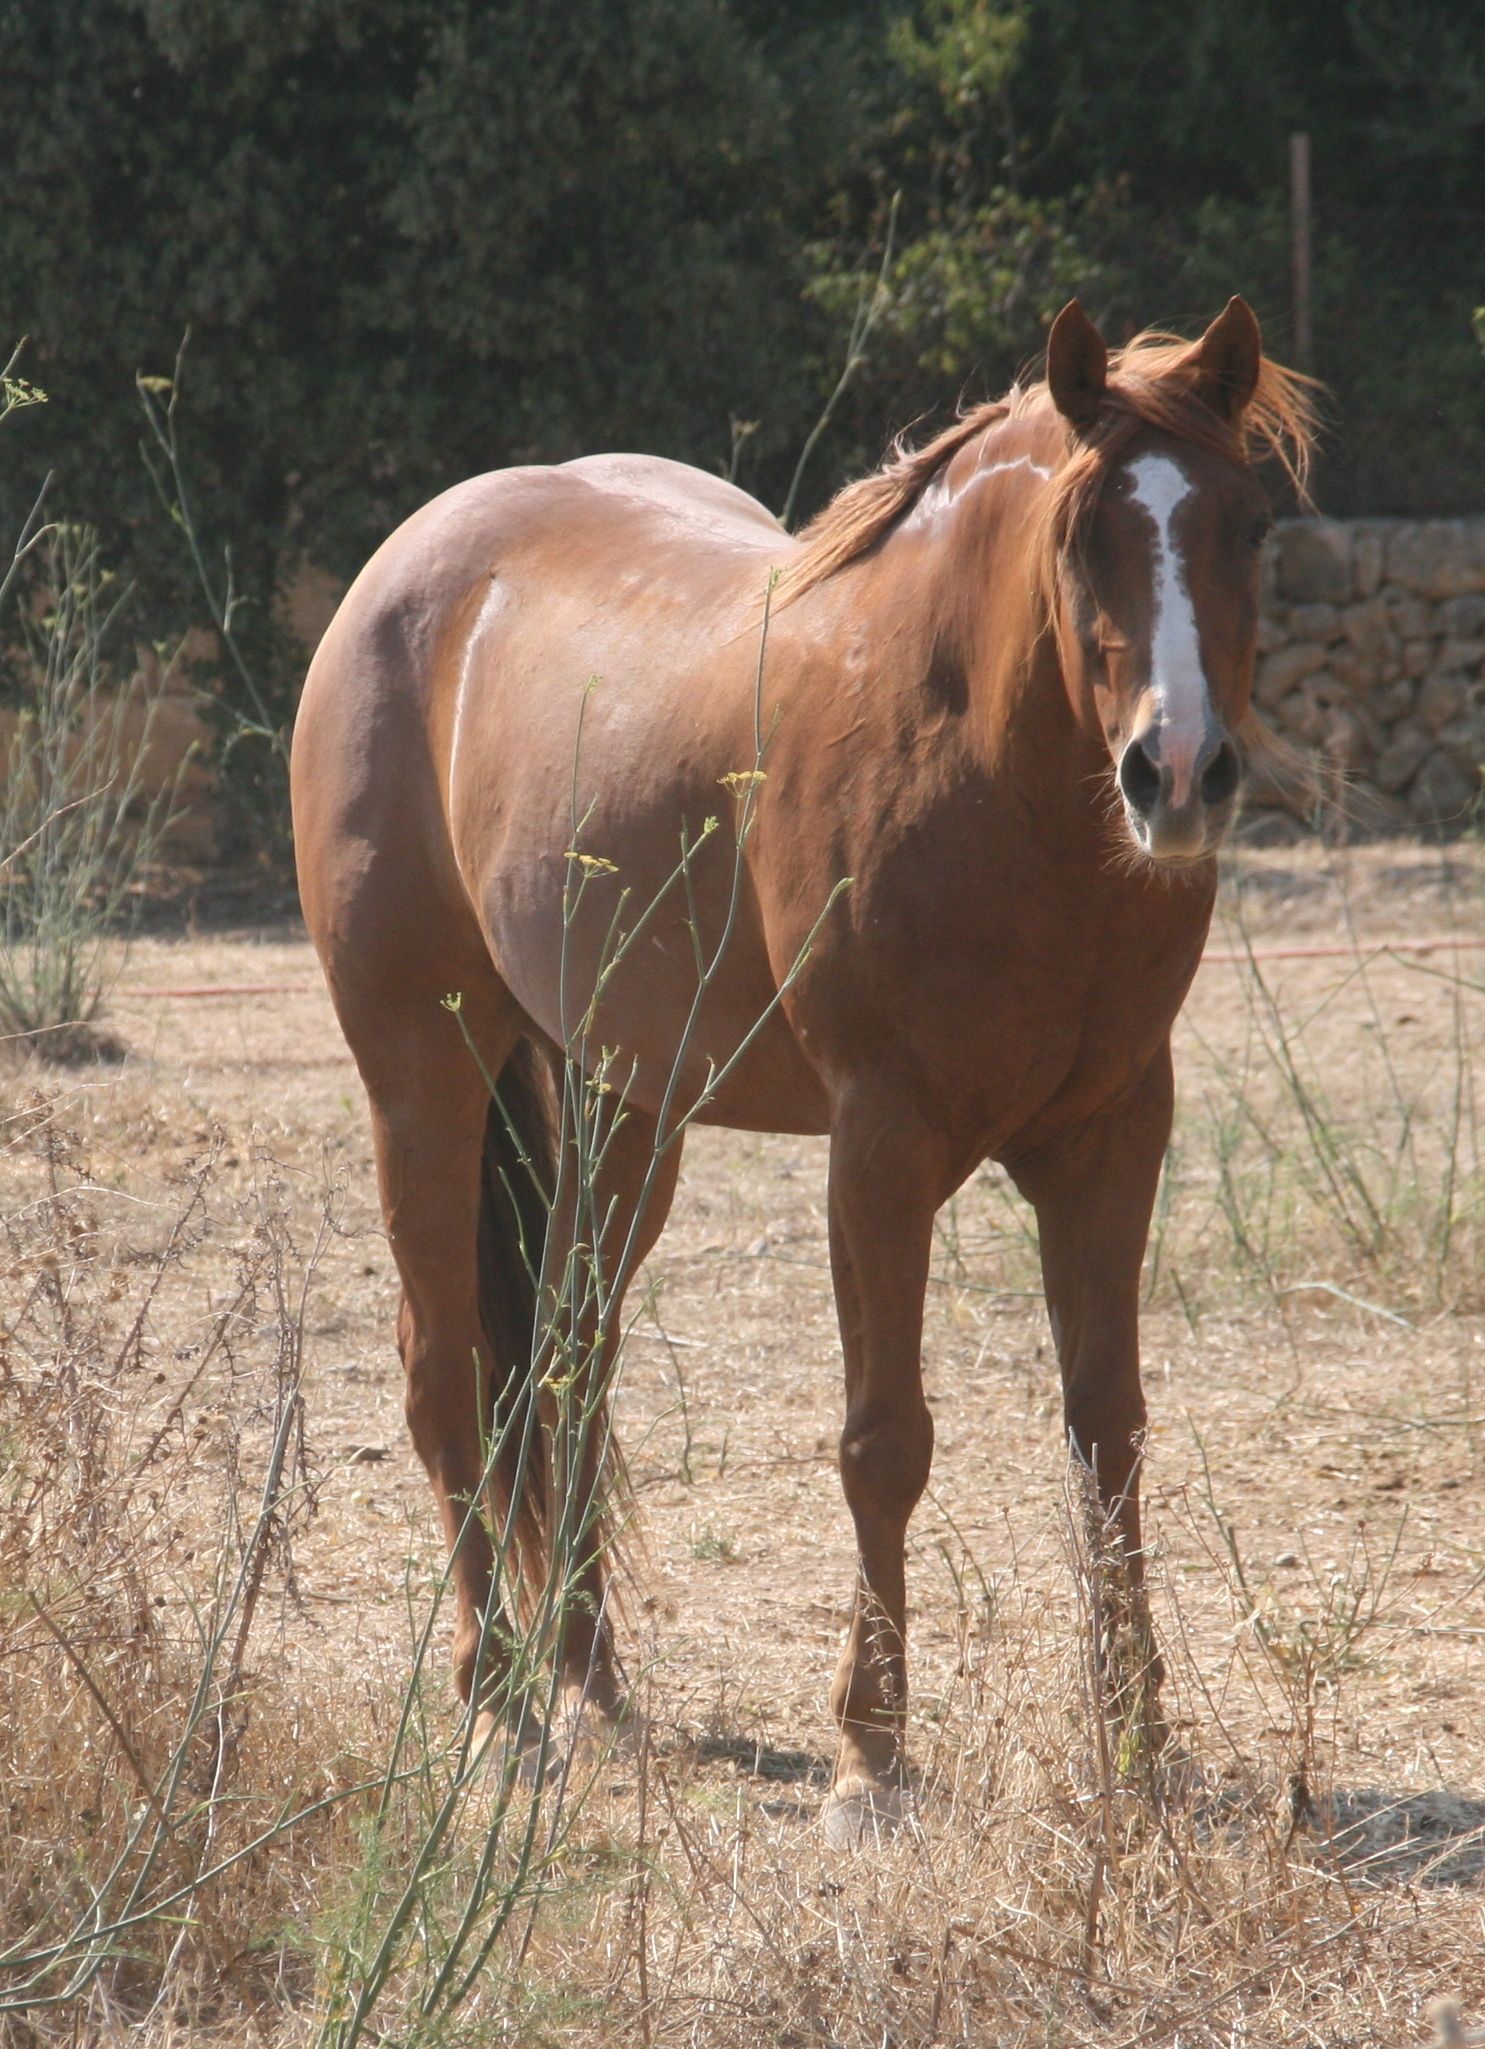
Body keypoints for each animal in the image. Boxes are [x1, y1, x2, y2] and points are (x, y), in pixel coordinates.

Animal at [292, 296, 1314, 1841]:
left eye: (1249, 524)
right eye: (1085, 533)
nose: (1179, 773)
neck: (985, 772)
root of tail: (398, 574)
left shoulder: (1112, 1138)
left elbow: (1109, 1432)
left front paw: (1140, 1749)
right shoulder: (880, 1148)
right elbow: (883, 1441)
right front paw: (868, 1758)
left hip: (623, 1106)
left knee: (571, 1363)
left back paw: (593, 1684)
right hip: (426, 1071)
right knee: (446, 1368)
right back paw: (498, 1706)